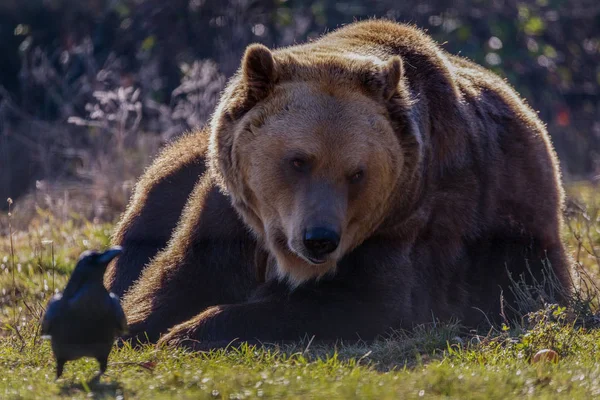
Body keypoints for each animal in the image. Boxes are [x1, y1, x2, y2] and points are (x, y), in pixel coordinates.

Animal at [104, 20, 572, 348]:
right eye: (298, 161)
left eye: (357, 172)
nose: (319, 239)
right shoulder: (230, 213)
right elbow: (174, 275)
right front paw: (137, 324)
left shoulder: (409, 222)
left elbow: (365, 303)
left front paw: (189, 331)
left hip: (524, 249)